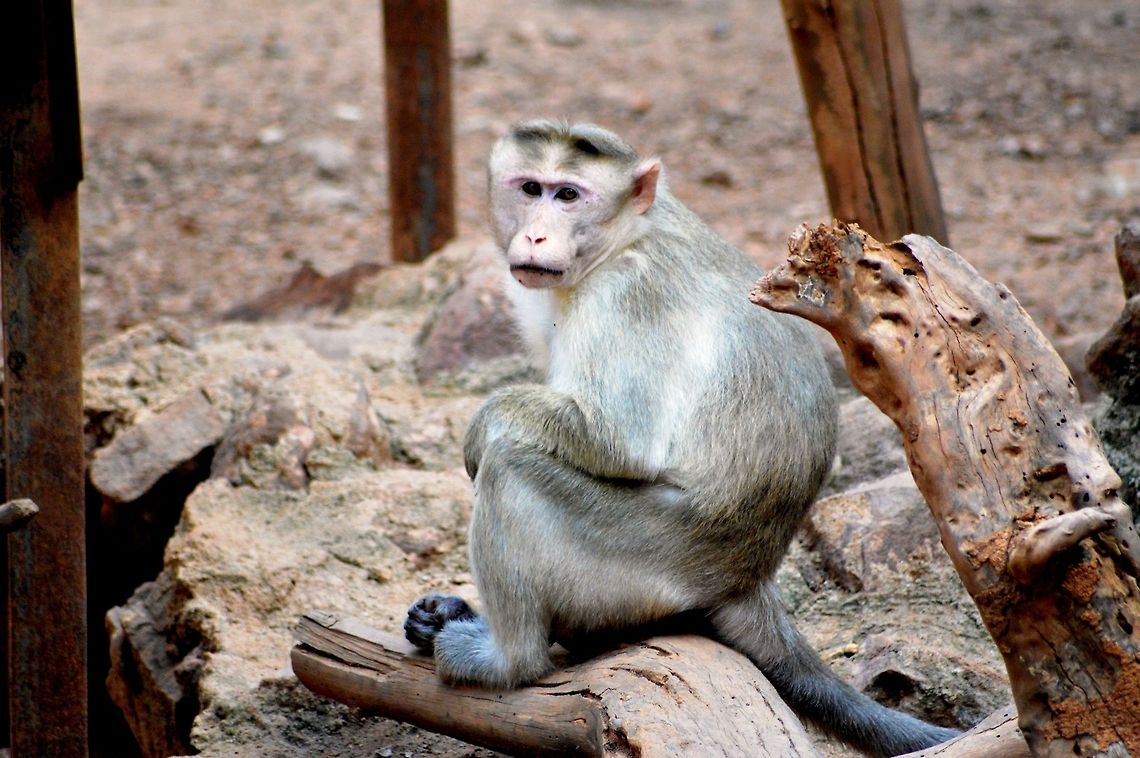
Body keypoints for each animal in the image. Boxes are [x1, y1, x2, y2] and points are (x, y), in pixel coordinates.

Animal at [405, 120, 960, 757]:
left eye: (568, 195)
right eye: (529, 188)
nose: (537, 233)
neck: (625, 236)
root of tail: (750, 577)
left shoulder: (627, 297)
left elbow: (617, 439)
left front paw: (481, 428)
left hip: (643, 561)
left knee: (513, 470)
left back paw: (508, 661)